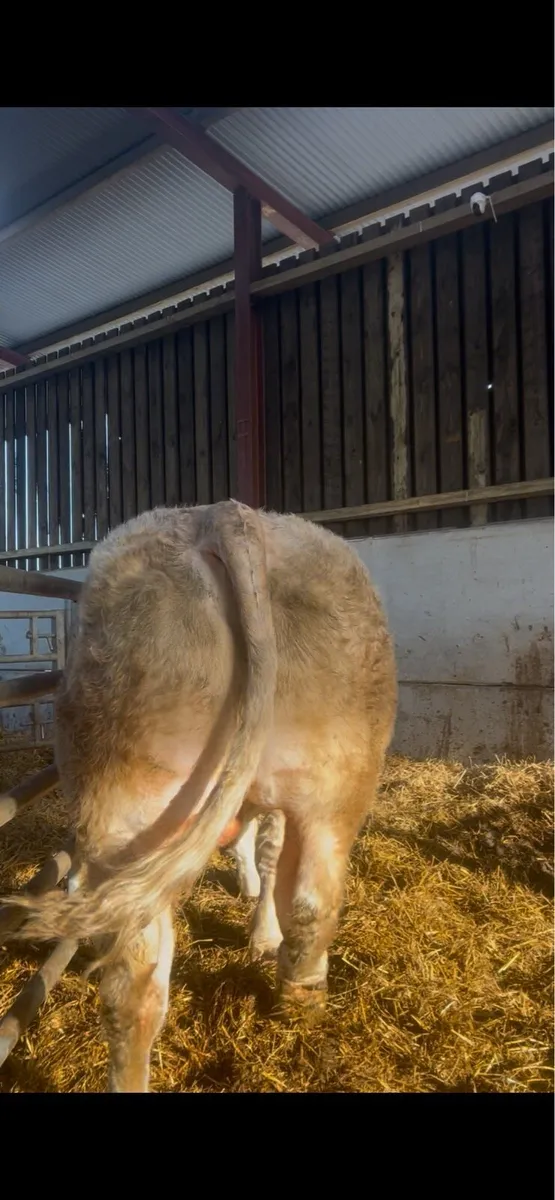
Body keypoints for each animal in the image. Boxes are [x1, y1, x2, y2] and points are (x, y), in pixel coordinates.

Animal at [5, 500, 397, 1092]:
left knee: (137, 979)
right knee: (310, 897)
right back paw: (302, 991)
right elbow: (269, 854)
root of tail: (226, 515)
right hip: (329, 786)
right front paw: (260, 929)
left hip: (142, 805)